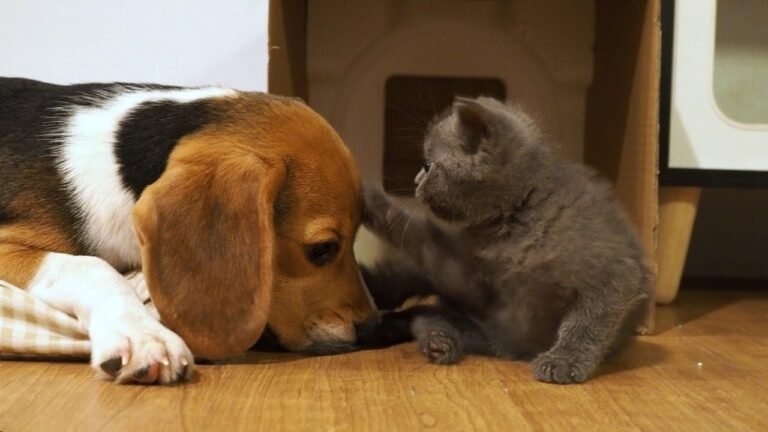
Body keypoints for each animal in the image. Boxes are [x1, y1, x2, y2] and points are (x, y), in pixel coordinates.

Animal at [360, 97, 648, 384]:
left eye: (428, 166)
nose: (416, 181)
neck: (518, 219)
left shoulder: (615, 274)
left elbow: (587, 321)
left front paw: (564, 359)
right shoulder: (476, 282)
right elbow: (422, 241)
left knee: (426, 316)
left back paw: (439, 339)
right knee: (418, 295)